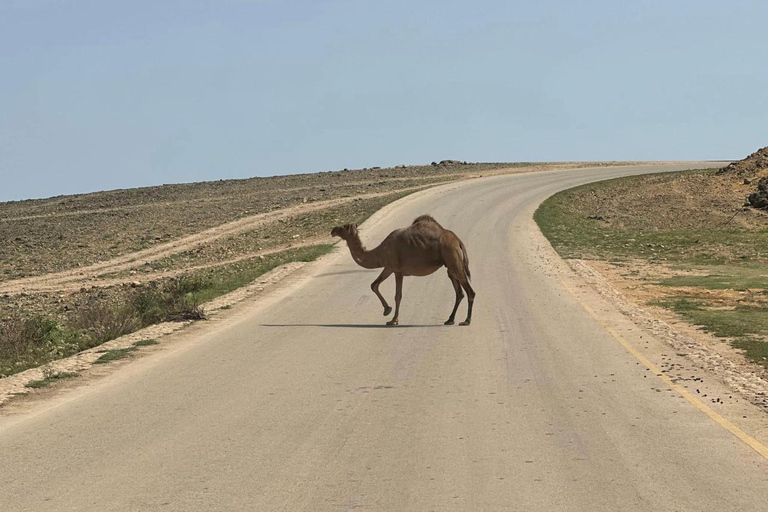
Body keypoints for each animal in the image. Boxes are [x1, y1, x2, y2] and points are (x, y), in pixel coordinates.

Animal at [330, 214, 474, 326]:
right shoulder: (393, 269)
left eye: (344, 226)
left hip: (453, 258)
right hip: (450, 265)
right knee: (459, 292)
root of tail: (458, 241)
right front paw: (390, 314)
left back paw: (466, 320)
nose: (333, 230)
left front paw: (391, 317)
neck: (380, 252)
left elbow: (394, 294)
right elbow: (376, 286)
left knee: (470, 291)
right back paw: (450, 319)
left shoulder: (393, 268)